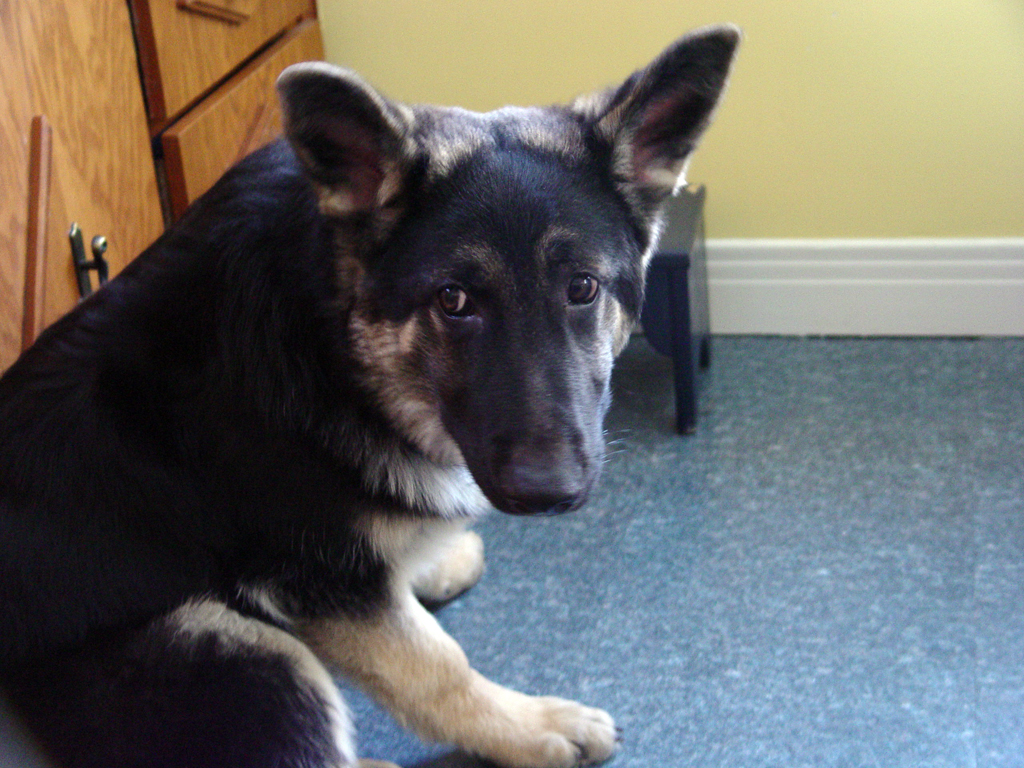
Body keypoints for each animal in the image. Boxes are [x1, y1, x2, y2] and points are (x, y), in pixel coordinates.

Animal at [0, 24, 737, 768]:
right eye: (454, 300)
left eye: (583, 288)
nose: (547, 492)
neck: (332, 343)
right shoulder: (318, 579)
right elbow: (435, 667)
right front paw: (529, 728)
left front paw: (429, 559)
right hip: (246, 657)